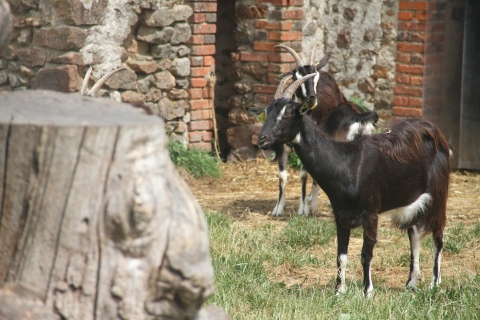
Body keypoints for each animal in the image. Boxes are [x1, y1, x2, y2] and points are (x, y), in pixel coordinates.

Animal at [249, 45, 376, 216]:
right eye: (267, 112)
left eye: (287, 113)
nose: (262, 138)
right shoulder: (283, 147)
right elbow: (282, 176)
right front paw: (278, 208)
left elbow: (304, 175)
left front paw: (303, 209)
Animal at [258, 74, 450, 296]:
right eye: (267, 112)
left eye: (288, 113)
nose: (262, 139)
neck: (346, 163)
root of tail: (434, 131)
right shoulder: (340, 215)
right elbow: (341, 255)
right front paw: (339, 291)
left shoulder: (371, 213)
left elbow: (366, 254)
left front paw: (367, 292)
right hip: (411, 195)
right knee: (415, 233)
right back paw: (411, 283)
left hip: (438, 193)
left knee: (438, 236)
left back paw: (435, 283)